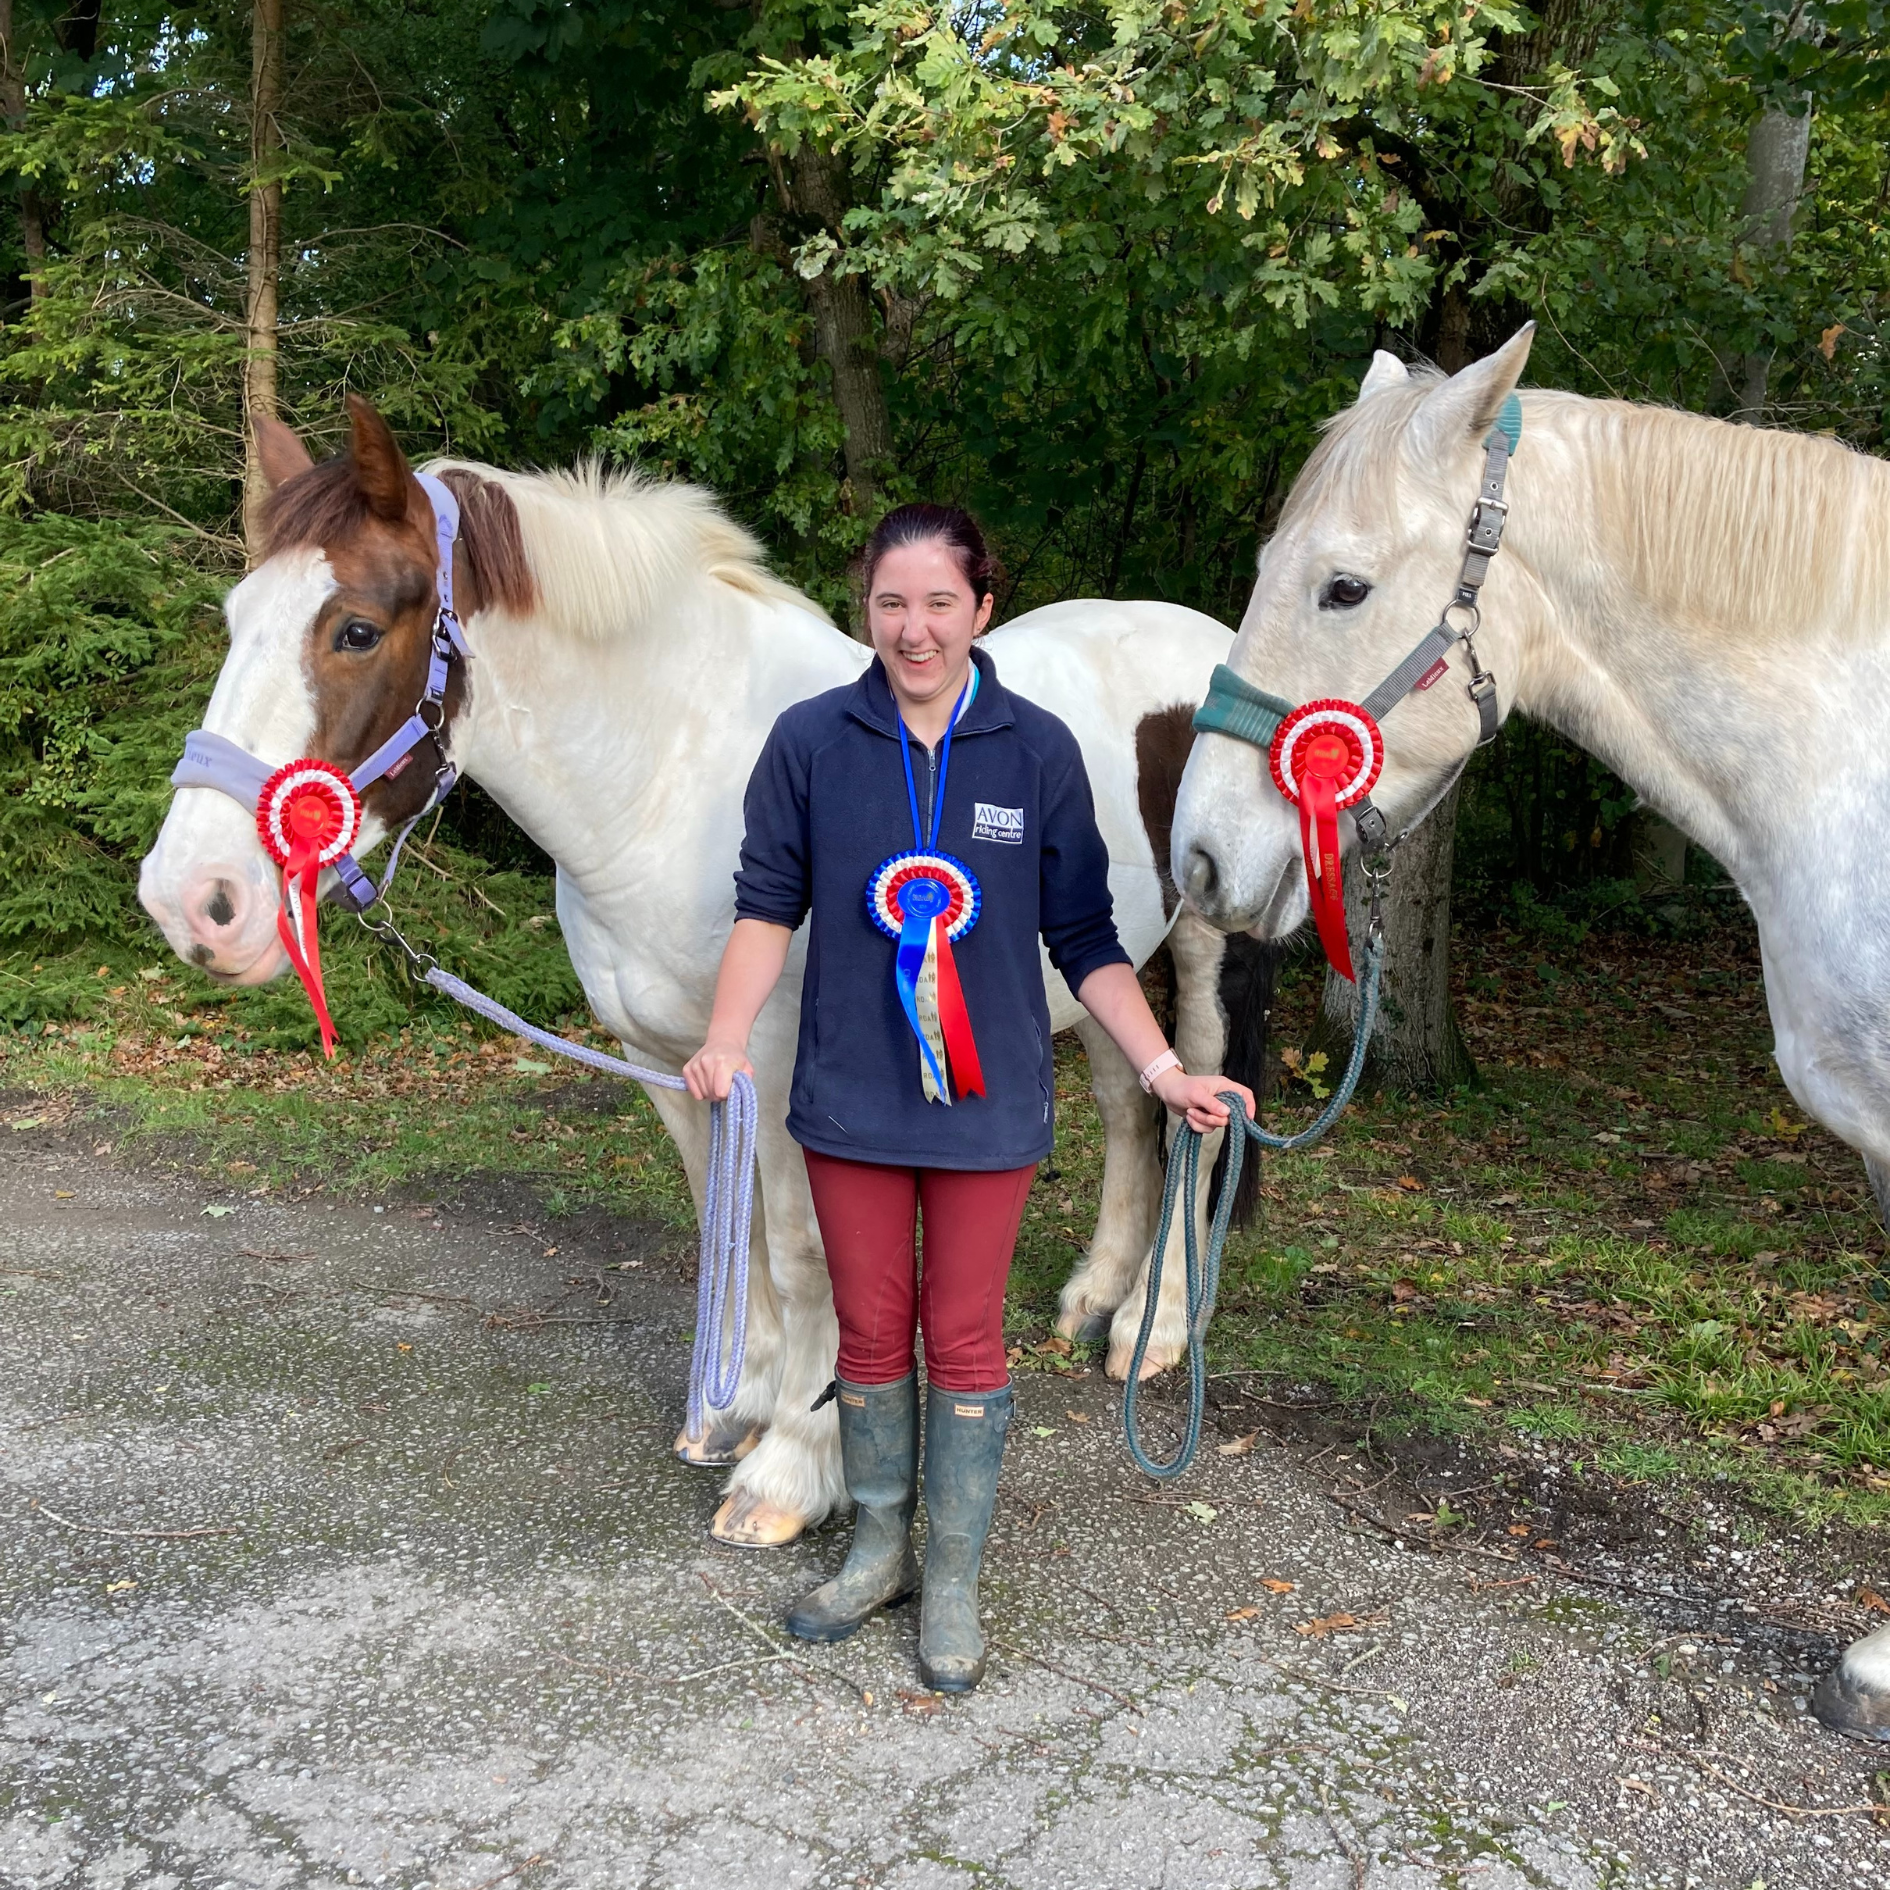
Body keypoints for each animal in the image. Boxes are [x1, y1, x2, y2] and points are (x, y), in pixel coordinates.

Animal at [139, 406, 1262, 1542]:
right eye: (235, 618)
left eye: (357, 631)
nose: (194, 900)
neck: (672, 784)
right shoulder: (673, 1061)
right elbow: (736, 1229)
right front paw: (736, 1409)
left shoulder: (788, 1070)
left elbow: (808, 1256)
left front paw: (795, 1468)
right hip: (1097, 962)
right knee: (1128, 1105)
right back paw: (1093, 1302)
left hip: (1204, 954)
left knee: (1201, 1112)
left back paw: (1159, 1327)